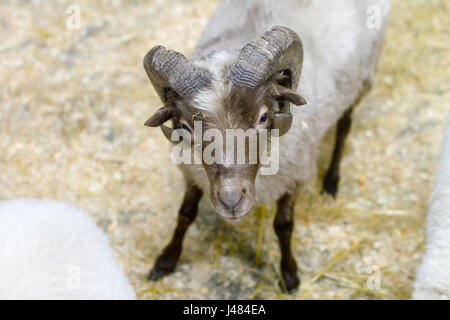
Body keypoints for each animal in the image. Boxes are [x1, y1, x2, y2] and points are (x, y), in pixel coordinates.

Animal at [142, 0, 388, 292]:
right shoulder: (193, 174)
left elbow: (284, 225)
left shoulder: (295, 177)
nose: (231, 201)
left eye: (263, 117)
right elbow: (185, 214)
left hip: (362, 80)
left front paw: (290, 276)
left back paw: (331, 181)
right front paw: (166, 261)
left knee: (344, 126)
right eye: (186, 127)